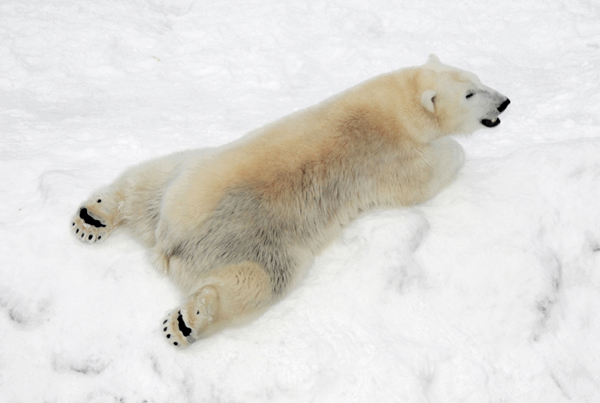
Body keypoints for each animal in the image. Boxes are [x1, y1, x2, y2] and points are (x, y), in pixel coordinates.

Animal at [71, 55, 510, 348]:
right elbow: (428, 175)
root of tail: (171, 244)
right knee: (259, 281)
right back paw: (187, 321)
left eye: (478, 77)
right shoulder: (391, 159)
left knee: (147, 182)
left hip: (184, 178)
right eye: (470, 93)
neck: (395, 106)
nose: (505, 102)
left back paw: (92, 217)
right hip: (258, 242)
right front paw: (456, 150)